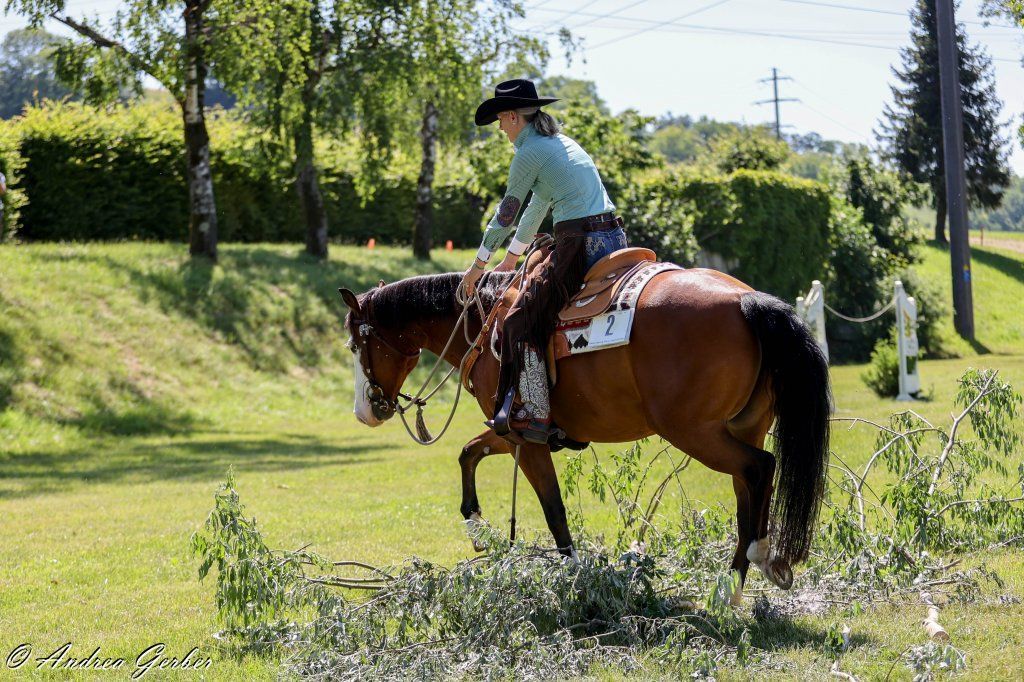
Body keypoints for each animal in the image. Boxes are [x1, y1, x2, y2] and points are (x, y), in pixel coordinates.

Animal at [339, 264, 831, 601]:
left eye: (357, 343)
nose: (364, 412)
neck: (485, 323)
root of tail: (748, 301)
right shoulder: (511, 433)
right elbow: (468, 452)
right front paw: (478, 527)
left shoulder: (525, 439)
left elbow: (554, 510)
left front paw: (574, 573)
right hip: (744, 427)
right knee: (748, 487)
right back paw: (748, 572)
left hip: (696, 433)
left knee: (760, 468)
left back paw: (742, 574)